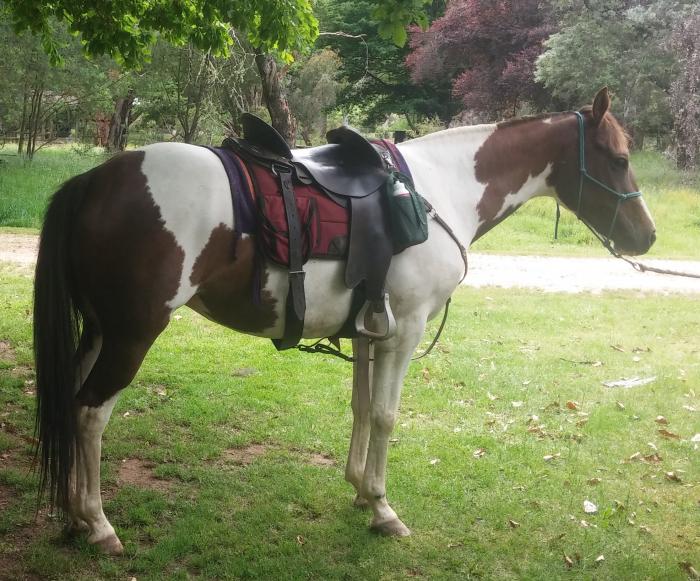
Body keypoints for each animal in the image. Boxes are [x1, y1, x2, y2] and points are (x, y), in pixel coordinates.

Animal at [33, 88, 655, 555]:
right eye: (619, 159)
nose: (647, 236)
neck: (438, 191)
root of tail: (95, 180)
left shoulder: (368, 330)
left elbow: (360, 408)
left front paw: (358, 490)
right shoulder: (405, 331)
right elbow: (385, 415)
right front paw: (382, 508)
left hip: (100, 330)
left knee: (70, 404)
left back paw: (73, 517)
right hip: (132, 335)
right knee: (89, 414)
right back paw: (98, 524)